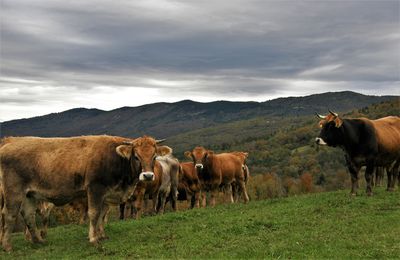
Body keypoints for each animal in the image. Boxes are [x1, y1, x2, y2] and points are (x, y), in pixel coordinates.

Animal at [0, 135, 164, 251]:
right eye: (136, 156)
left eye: (155, 156)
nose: (148, 176)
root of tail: (10, 142)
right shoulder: (95, 188)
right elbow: (94, 213)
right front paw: (93, 239)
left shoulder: (106, 194)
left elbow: (102, 215)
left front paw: (101, 235)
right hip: (13, 191)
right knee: (9, 215)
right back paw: (7, 246)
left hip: (30, 194)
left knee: (28, 214)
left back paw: (38, 240)